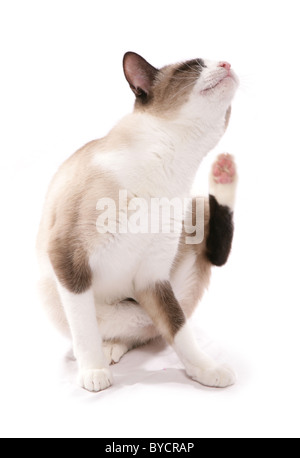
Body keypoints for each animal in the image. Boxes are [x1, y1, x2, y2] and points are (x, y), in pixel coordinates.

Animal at [37, 52, 239, 392]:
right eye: (194, 65)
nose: (226, 64)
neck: (173, 164)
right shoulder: (69, 255)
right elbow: (85, 330)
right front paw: (93, 372)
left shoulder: (152, 278)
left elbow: (179, 329)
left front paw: (206, 370)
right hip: (77, 299)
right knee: (103, 331)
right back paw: (105, 354)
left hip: (193, 217)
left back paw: (224, 174)